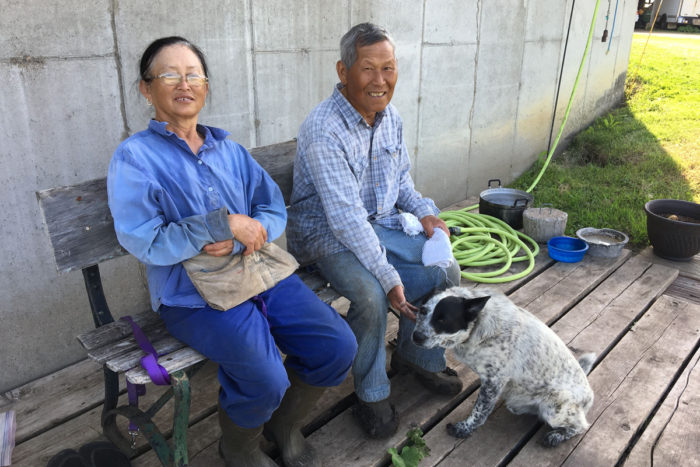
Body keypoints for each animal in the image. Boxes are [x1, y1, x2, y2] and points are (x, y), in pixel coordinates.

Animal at [412, 288, 592, 448]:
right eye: (422, 310)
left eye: (443, 320)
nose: (416, 337)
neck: (478, 327)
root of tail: (589, 397)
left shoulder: (494, 380)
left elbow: (480, 410)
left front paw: (464, 428)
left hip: (554, 406)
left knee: (581, 426)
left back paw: (556, 436)